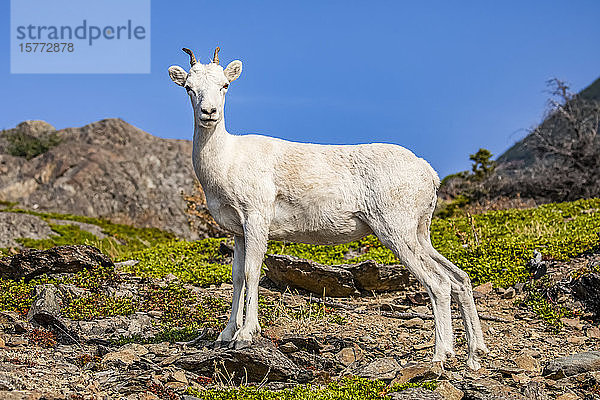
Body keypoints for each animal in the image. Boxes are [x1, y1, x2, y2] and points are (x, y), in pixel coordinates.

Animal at [168, 48, 488, 370]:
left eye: (225, 85)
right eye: (189, 88)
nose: (209, 113)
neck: (226, 161)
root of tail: (428, 172)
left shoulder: (256, 220)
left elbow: (251, 273)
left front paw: (245, 336)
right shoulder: (238, 232)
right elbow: (236, 277)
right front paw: (225, 336)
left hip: (397, 233)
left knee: (438, 283)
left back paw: (440, 356)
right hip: (420, 233)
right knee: (459, 279)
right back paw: (475, 356)